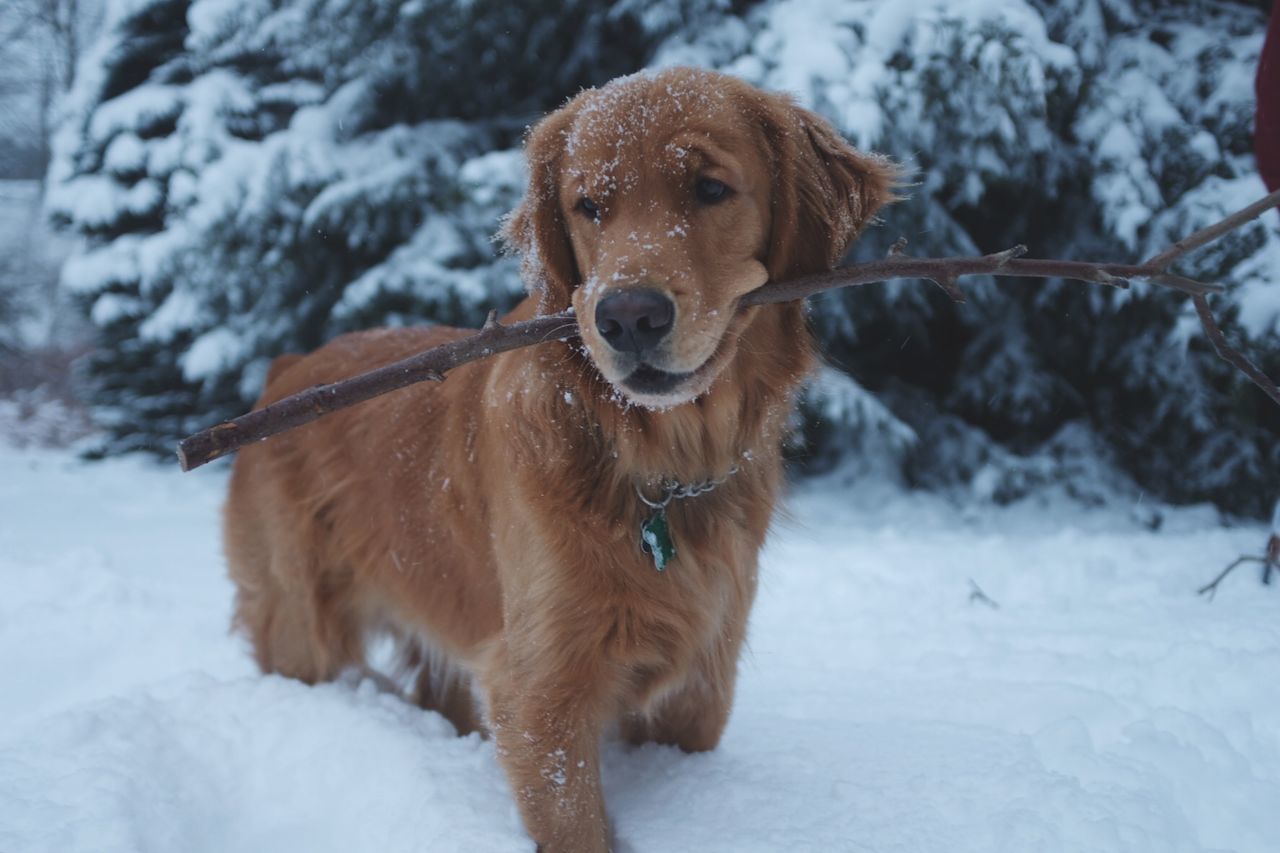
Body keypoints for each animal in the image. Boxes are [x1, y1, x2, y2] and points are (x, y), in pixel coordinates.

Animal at [222, 68, 890, 850]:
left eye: (710, 188)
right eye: (589, 205)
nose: (628, 317)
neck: (654, 466)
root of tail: (288, 371)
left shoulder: (701, 684)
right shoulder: (540, 690)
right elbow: (575, 822)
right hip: (302, 625)